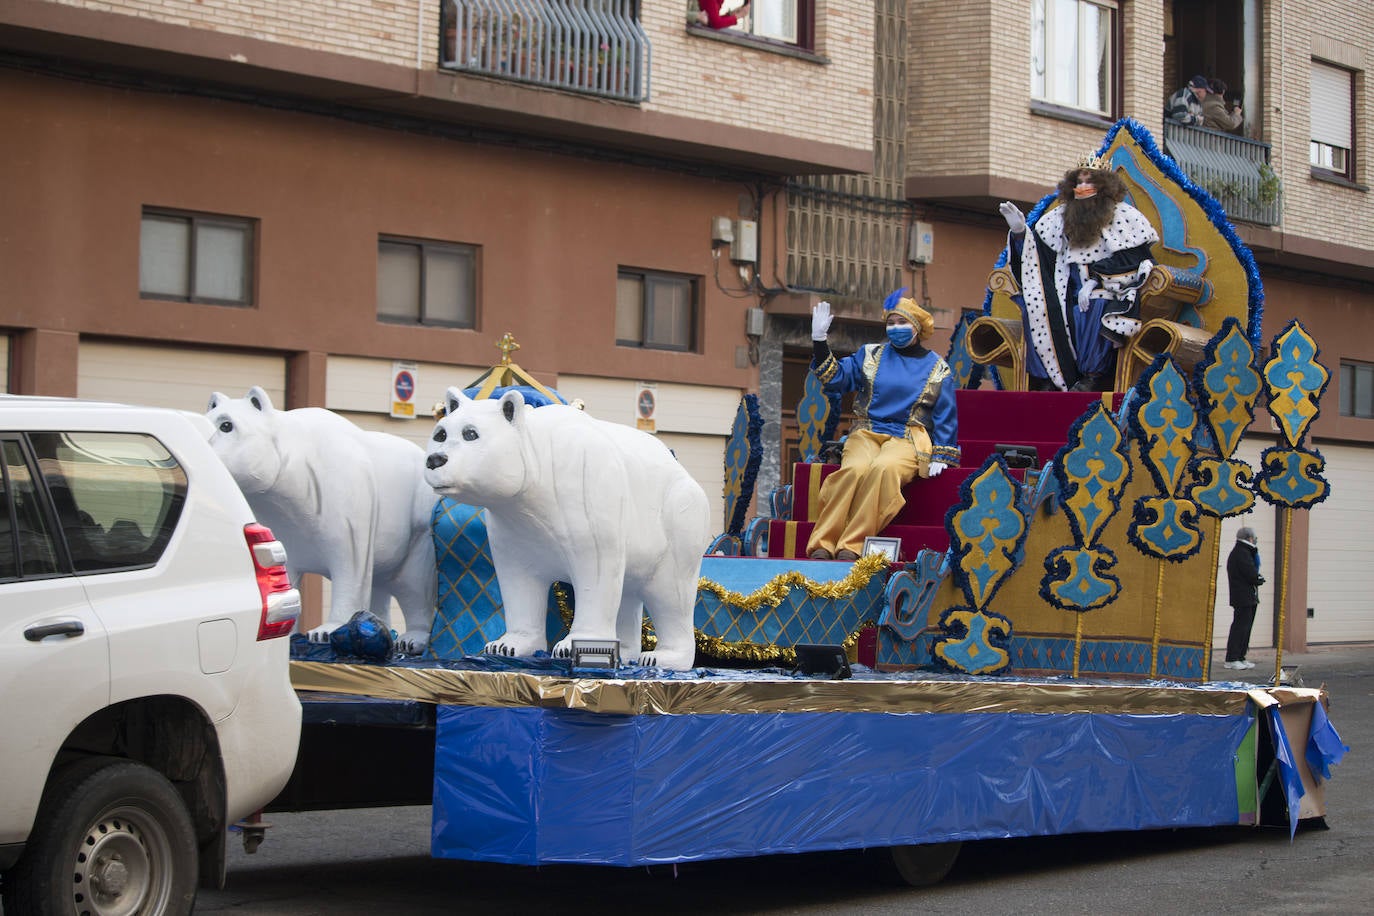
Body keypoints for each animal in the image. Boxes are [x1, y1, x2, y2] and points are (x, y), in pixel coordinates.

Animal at [203, 384, 436, 650]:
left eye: (226, 425)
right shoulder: (279, 520)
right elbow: (283, 569)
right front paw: (288, 632)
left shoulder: (344, 499)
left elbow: (350, 564)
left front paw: (325, 631)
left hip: (417, 532)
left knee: (414, 585)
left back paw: (410, 639)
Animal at [423, 390, 708, 672]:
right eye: (441, 434)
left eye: (471, 433)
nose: (435, 460)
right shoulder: (512, 525)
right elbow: (518, 579)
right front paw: (505, 645)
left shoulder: (584, 491)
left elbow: (595, 569)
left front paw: (572, 646)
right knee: (628, 592)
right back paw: (626, 652)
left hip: (678, 521)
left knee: (672, 594)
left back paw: (662, 657)